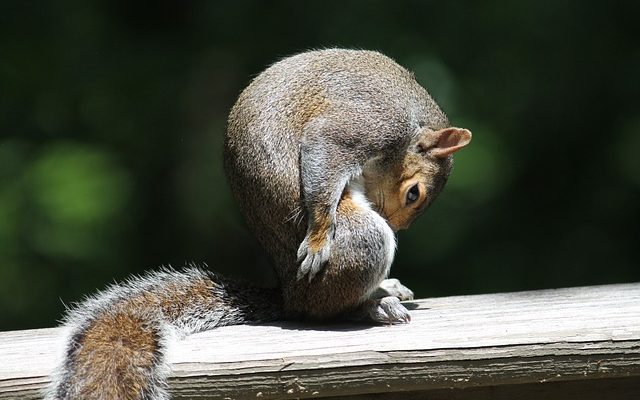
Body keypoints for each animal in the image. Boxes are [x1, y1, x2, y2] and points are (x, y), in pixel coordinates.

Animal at [46, 49, 470, 400]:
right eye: (413, 194)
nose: (395, 227)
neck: (411, 124)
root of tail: (290, 295)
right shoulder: (367, 124)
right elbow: (324, 152)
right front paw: (318, 238)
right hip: (360, 240)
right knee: (324, 311)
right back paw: (370, 306)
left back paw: (384, 289)